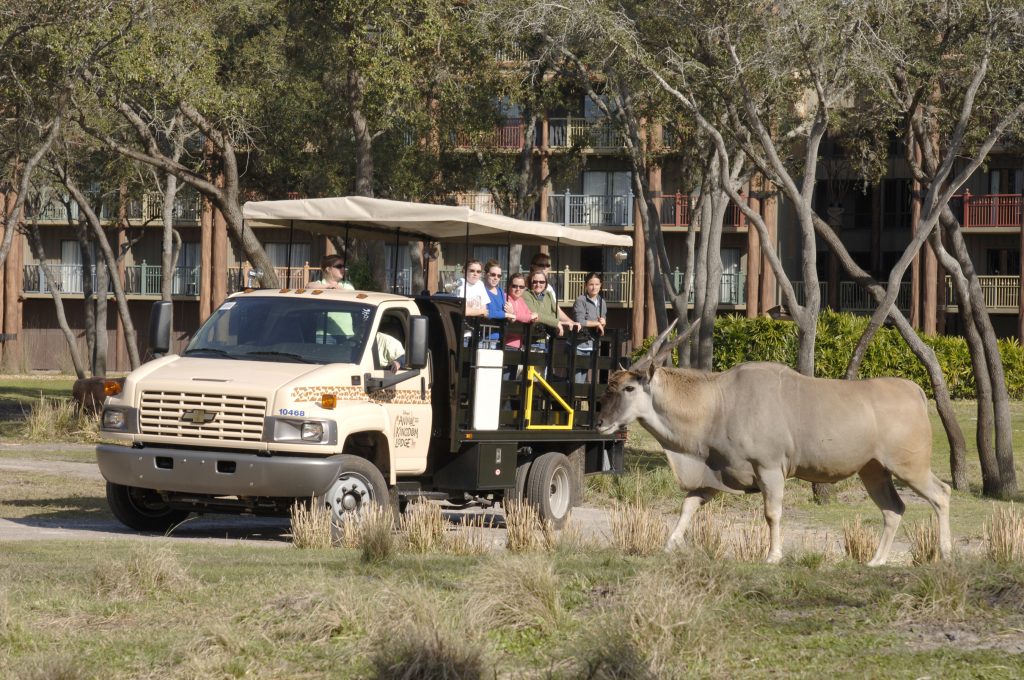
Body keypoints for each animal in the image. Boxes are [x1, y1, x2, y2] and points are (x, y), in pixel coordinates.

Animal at [598, 321, 950, 565]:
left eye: (629, 388)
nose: (601, 423)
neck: (718, 402)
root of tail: (916, 392)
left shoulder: (769, 470)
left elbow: (773, 513)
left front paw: (773, 556)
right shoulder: (714, 476)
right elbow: (687, 506)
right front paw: (668, 545)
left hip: (910, 468)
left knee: (941, 494)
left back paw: (945, 555)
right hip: (873, 471)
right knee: (894, 509)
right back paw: (876, 561)